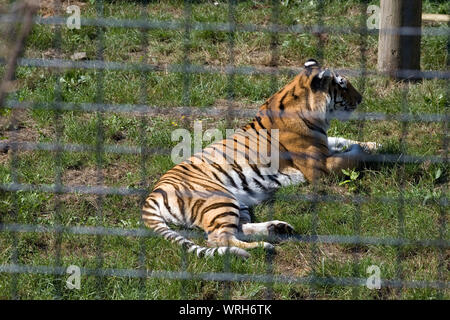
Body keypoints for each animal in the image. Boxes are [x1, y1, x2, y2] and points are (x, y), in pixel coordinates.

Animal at [142, 59, 380, 260]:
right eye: (343, 85)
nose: (361, 98)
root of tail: (153, 194)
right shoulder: (319, 166)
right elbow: (351, 157)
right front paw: (371, 152)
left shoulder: (325, 144)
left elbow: (341, 139)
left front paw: (374, 144)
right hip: (219, 199)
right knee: (219, 238)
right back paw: (261, 248)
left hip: (236, 202)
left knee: (239, 229)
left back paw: (277, 228)